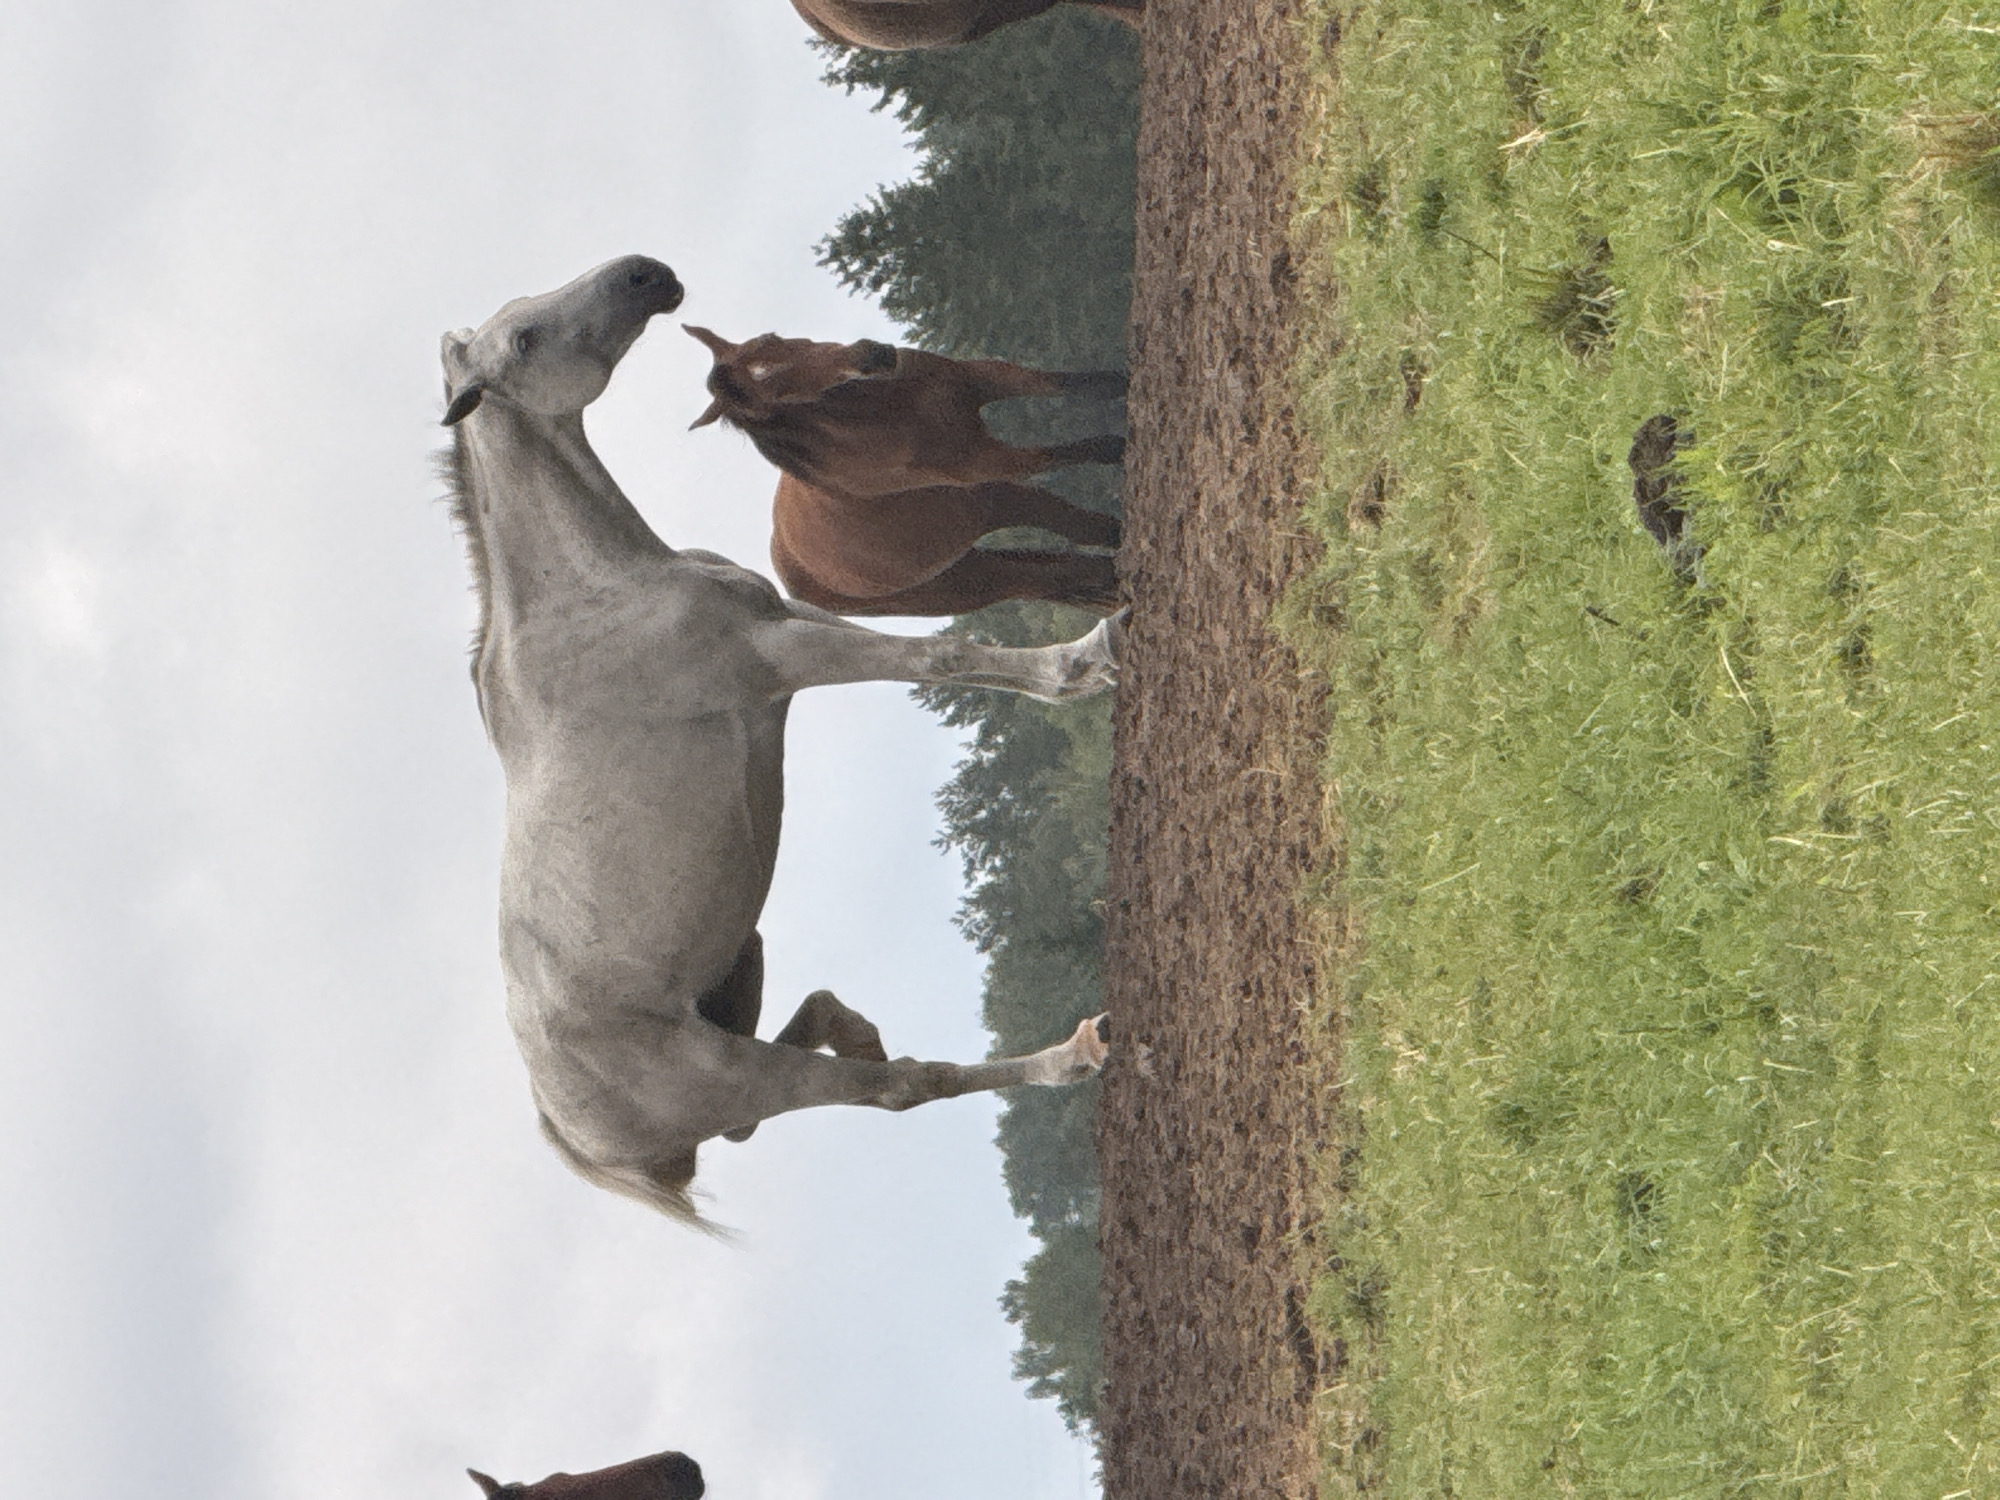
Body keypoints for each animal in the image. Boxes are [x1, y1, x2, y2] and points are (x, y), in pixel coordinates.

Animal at [439, 256, 1119, 1229]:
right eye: (525, 339)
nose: (646, 275)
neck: (595, 599)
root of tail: (575, 1135)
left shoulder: (790, 621)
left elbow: (942, 652)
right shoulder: (779, 659)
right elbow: (943, 656)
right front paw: (1088, 661)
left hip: (740, 973)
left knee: (796, 1083)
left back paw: (853, 1028)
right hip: (748, 1073)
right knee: (898, 1089)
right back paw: (1073, 1052)